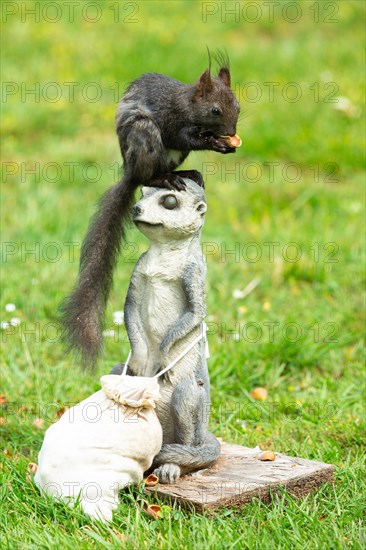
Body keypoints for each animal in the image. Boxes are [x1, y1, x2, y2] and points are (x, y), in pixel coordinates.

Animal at [60, 54, 240, 368]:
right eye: (215, 110)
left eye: (238, 105)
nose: (231, 132)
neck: (188, 105)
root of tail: (130, 171)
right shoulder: (173, 121)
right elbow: (183, 137)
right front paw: (215, 142)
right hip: (145, 136)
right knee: (149, 176)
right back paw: (163, 179)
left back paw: (187, 173)